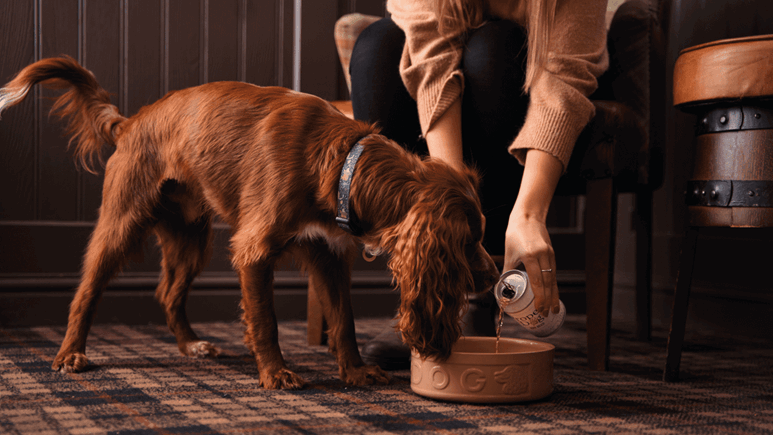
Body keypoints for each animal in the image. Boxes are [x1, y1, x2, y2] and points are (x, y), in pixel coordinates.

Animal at [0, 57, 498, 388]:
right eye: (468, 241)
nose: (496, 276)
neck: (341, 162)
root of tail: (130, 121)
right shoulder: (254, 250)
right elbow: (266, 320)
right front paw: (276, 374)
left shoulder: (328, 254)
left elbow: (344, 320)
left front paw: (355, 370)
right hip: (121, 223)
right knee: (86, 292)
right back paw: (71, 353)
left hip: (191, 237)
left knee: (168, 293)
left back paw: (191, 344)